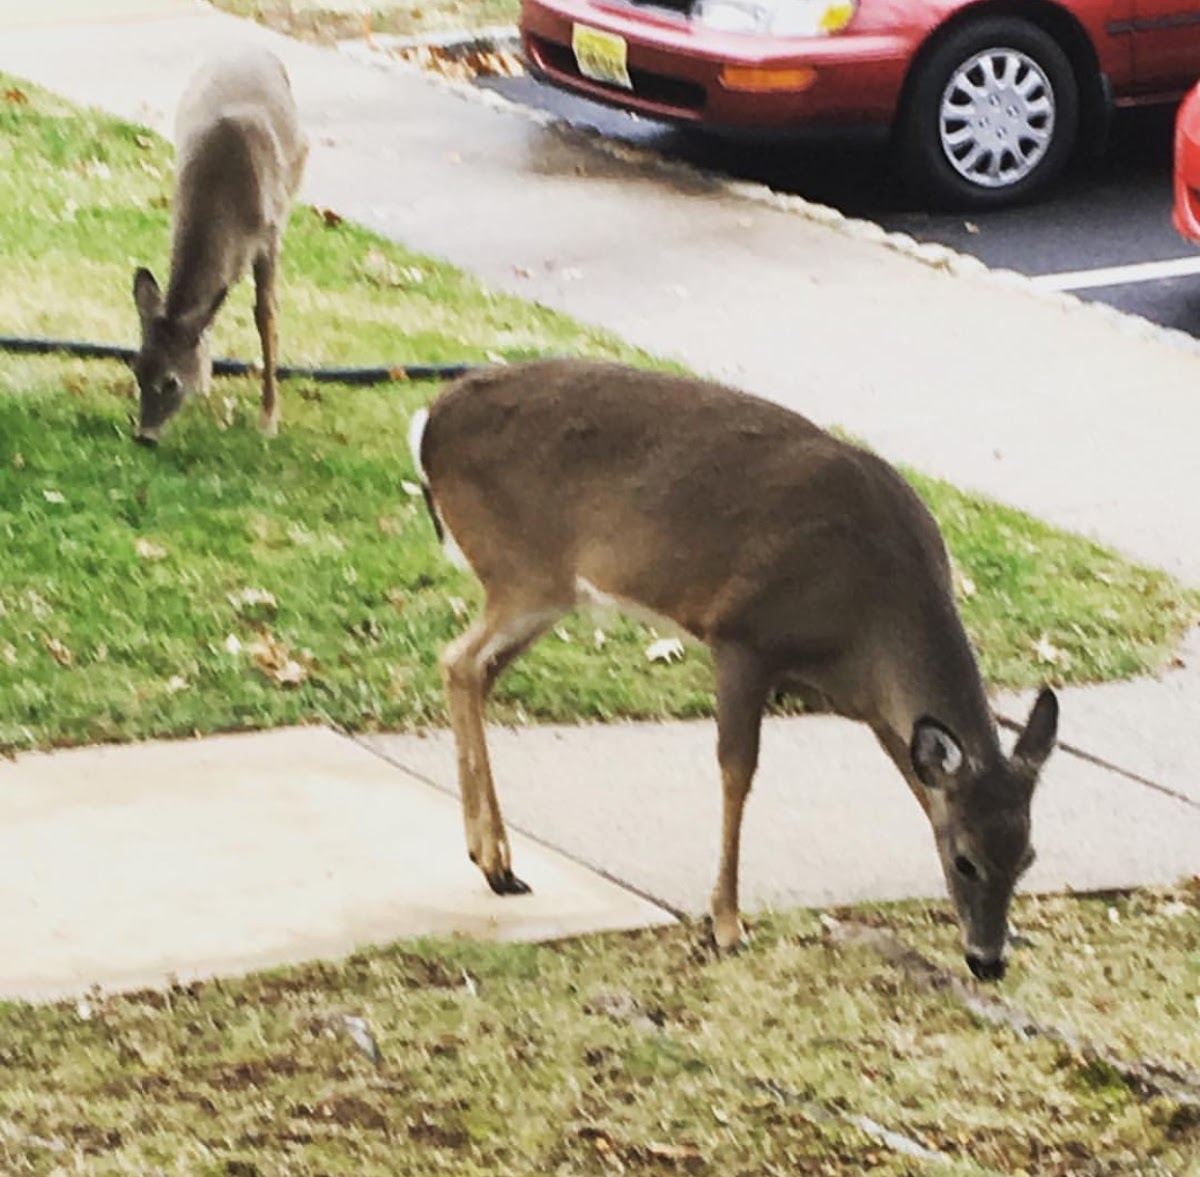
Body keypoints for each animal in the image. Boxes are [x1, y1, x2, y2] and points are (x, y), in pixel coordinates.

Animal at [130, 47, 307, 446]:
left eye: (170, 382)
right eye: (137, 369)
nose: (144, 435)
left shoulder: (270, 236)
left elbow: (266, 315)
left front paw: (268, 420)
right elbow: (206, 312)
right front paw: (206, 379)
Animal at [412, 359, 1060, 983]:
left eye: (1027, 857)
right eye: (964, 860)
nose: (987, 962)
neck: (872, 610)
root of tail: (428, 421)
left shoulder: (872, 706)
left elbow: (918, 787)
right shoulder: (744, 638)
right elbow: (737, 771)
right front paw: (726, 922)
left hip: (546, 591)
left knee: (474, 669)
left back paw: (495, 862)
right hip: (523, 571)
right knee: (459, 659)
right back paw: (496, 860)